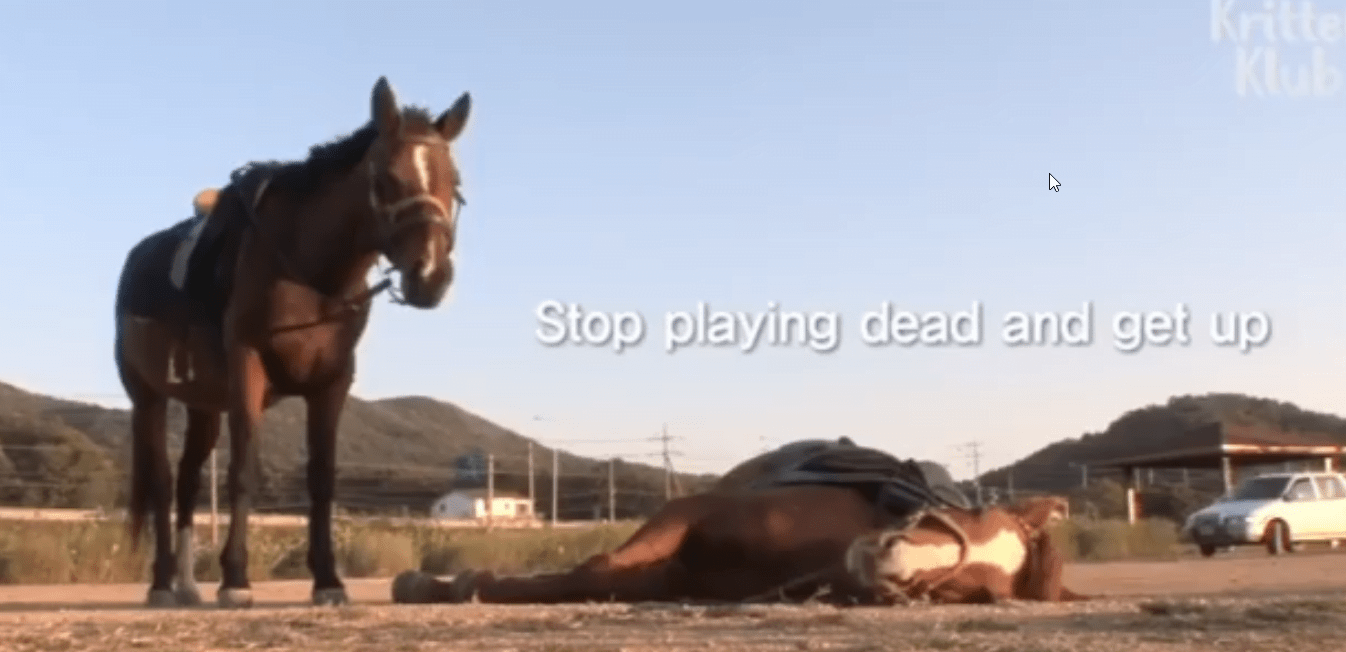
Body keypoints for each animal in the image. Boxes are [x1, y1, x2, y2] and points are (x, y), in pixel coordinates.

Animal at [113, 77, 471, 609]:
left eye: (456, 184)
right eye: (386, 179)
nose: (429, 276)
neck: (310, 271)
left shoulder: (333, 381)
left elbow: (322, 479)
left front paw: (328, 579)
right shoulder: (248, 367)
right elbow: (244, 470)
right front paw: (235, 578)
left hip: (203, 407)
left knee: (187, 481)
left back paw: (186, 584)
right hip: (148, 398)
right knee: (160, 483)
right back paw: (161, 584)